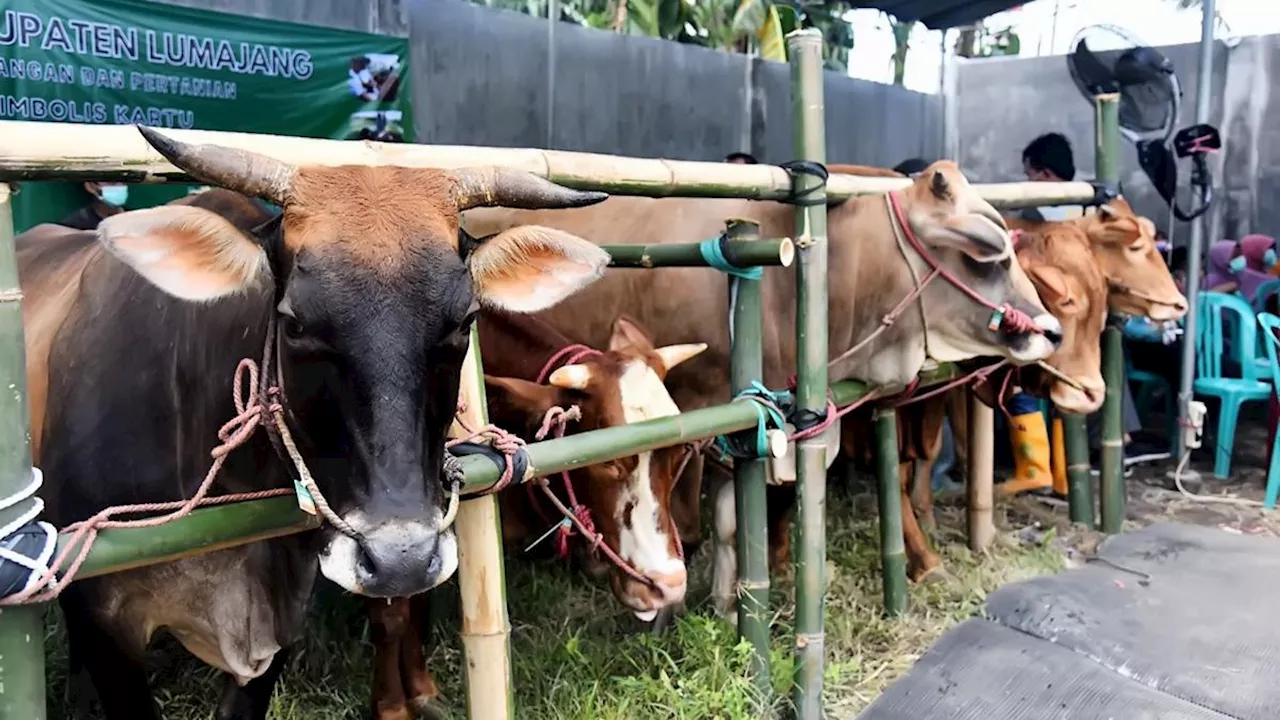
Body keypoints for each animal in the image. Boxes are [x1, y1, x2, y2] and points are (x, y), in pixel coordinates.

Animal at [366, 312, 706, 717]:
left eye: (677, 449)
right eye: (608, 461)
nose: (667, 585)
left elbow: (419, 599)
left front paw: (422, 689)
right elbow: (391, 615)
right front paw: (392, 708)